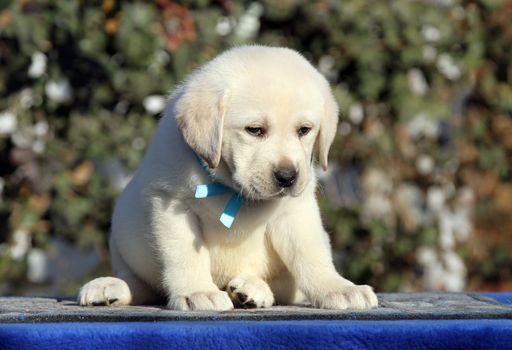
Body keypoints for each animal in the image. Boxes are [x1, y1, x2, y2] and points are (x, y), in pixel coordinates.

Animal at [78, 45, 378, 310]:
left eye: (304, 130)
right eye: (254, 130)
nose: (287, 176)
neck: (233, 190)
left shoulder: (295, 212)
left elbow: (311, 255)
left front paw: (337, 288)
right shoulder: (172, 205)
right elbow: (186, 256)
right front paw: (197, 292)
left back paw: (251, 289)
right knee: (143, 283)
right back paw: (110, 286)